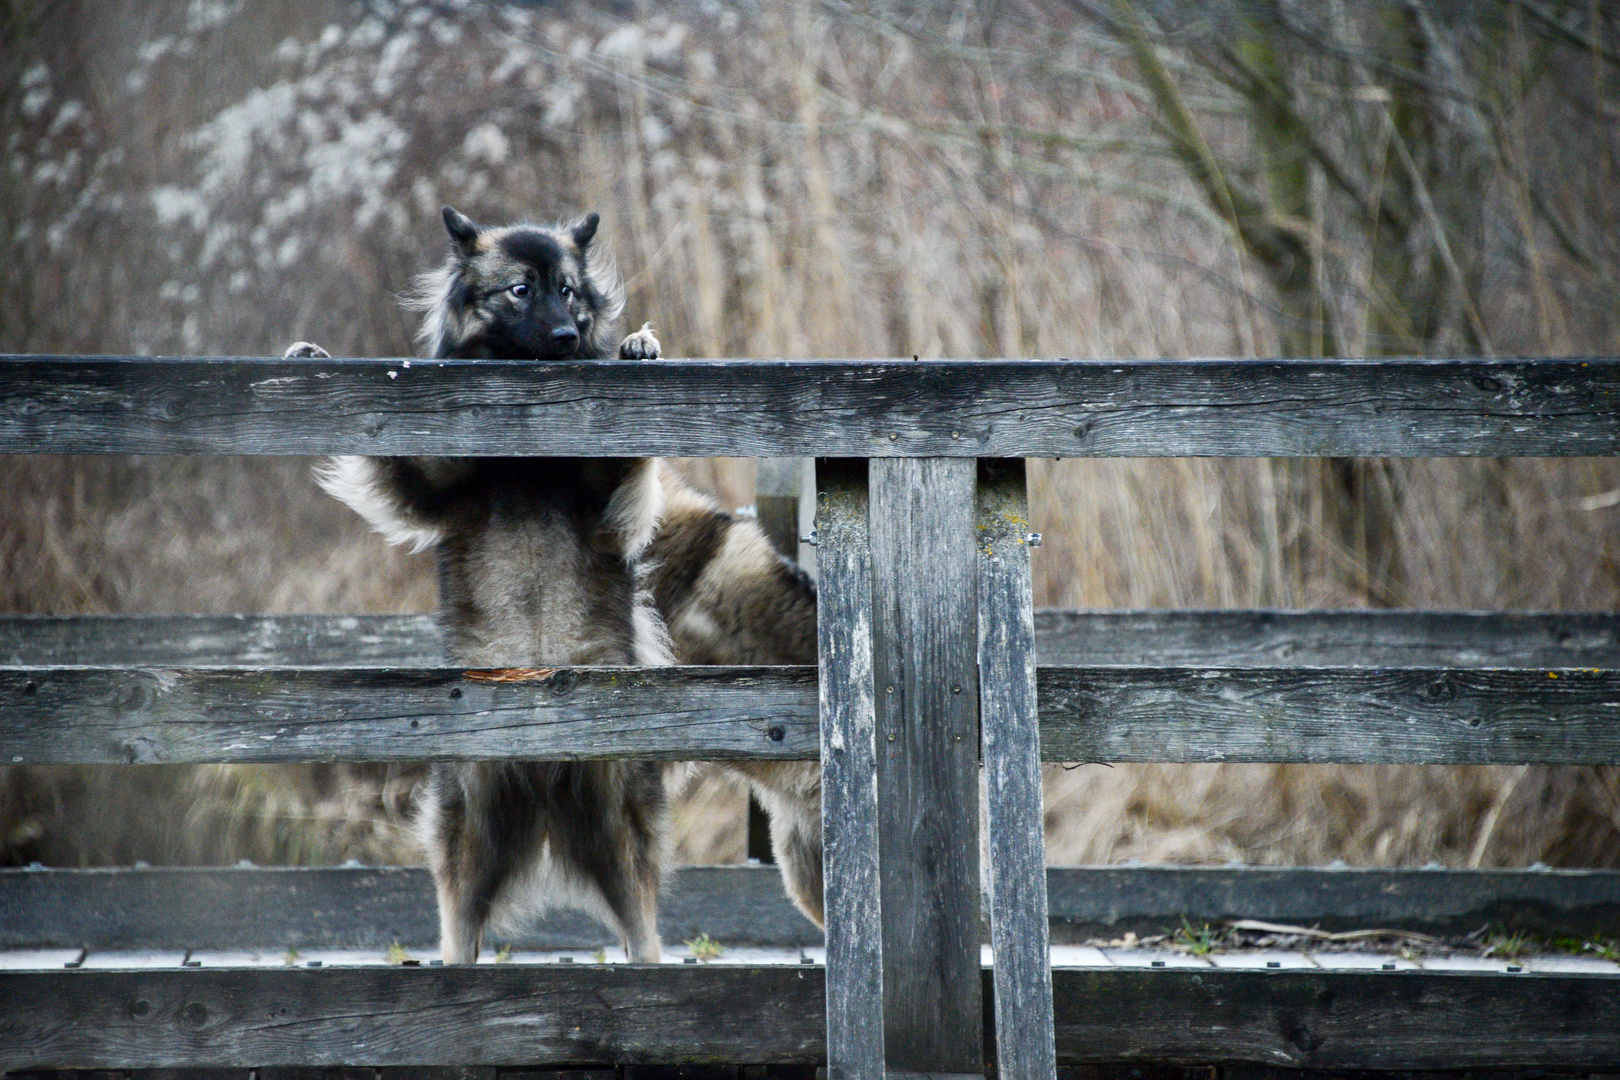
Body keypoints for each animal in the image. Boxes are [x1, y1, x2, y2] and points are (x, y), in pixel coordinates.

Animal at [288, 207, 822, 965]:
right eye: (520, 291)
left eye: (568, 291)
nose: (568, 336)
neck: (527, 457)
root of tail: (541, 768)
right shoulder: (437, 475)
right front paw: (315, 357)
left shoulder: (608, 487)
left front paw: (640, 344)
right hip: (471, 831)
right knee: (459, 925)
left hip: (632, 834)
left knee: (644, 930)